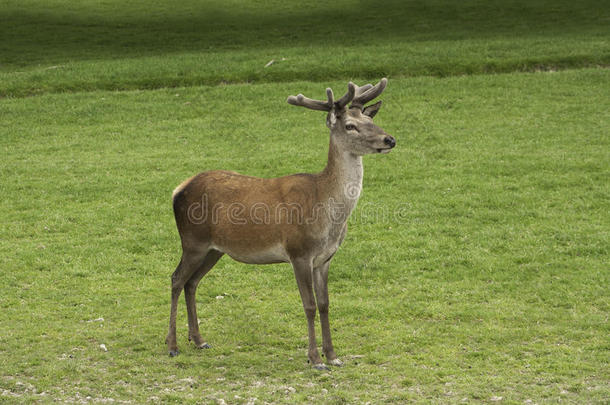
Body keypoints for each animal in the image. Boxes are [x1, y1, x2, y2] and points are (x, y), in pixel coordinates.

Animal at [166, 76, 394, 370]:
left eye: (369, 119)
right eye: (350, 126)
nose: (390, 139)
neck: (326, 209)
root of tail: (178, 189)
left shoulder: (325, 258)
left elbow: (325, 304)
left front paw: (333, 355)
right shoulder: (299, 252)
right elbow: (309, 305)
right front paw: (314, 358)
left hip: (214, 249)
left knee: (192, 282)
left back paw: (198, 339)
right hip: (192, 241)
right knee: (176, 279)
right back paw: (172, 345)